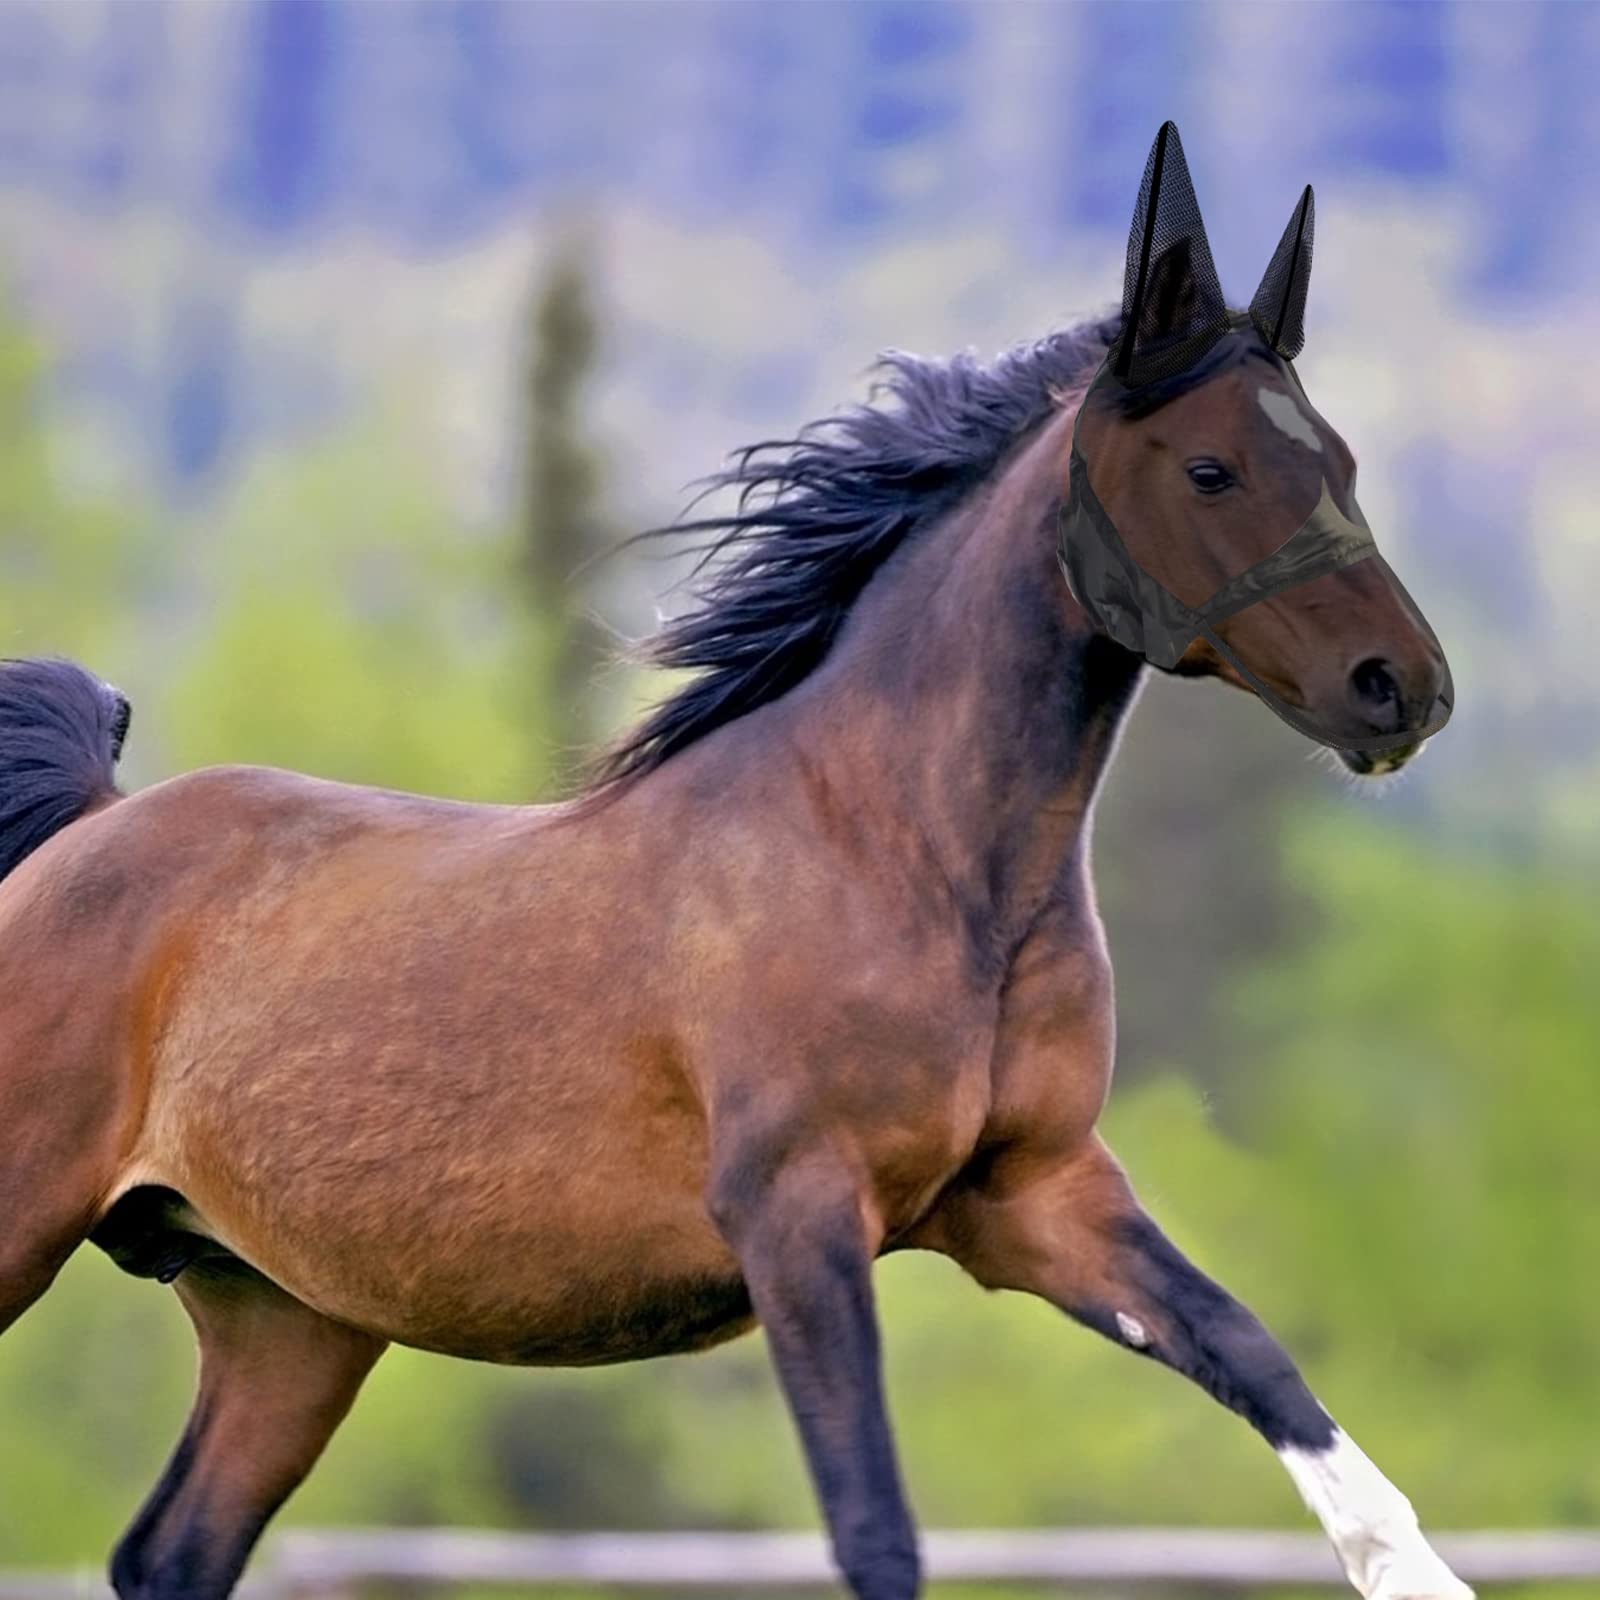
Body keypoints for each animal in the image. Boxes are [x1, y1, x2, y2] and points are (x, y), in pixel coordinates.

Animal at [0, 251, 1466, 1598]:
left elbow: (1261, 1362)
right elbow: (872, 1529)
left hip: (287, 1318)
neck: (900, 854)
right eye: (1211, 469)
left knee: (167, 1554)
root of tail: (83, 833)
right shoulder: (798, 1215)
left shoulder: (1035, 1196)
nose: (1401, 688)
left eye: (1336, 456)